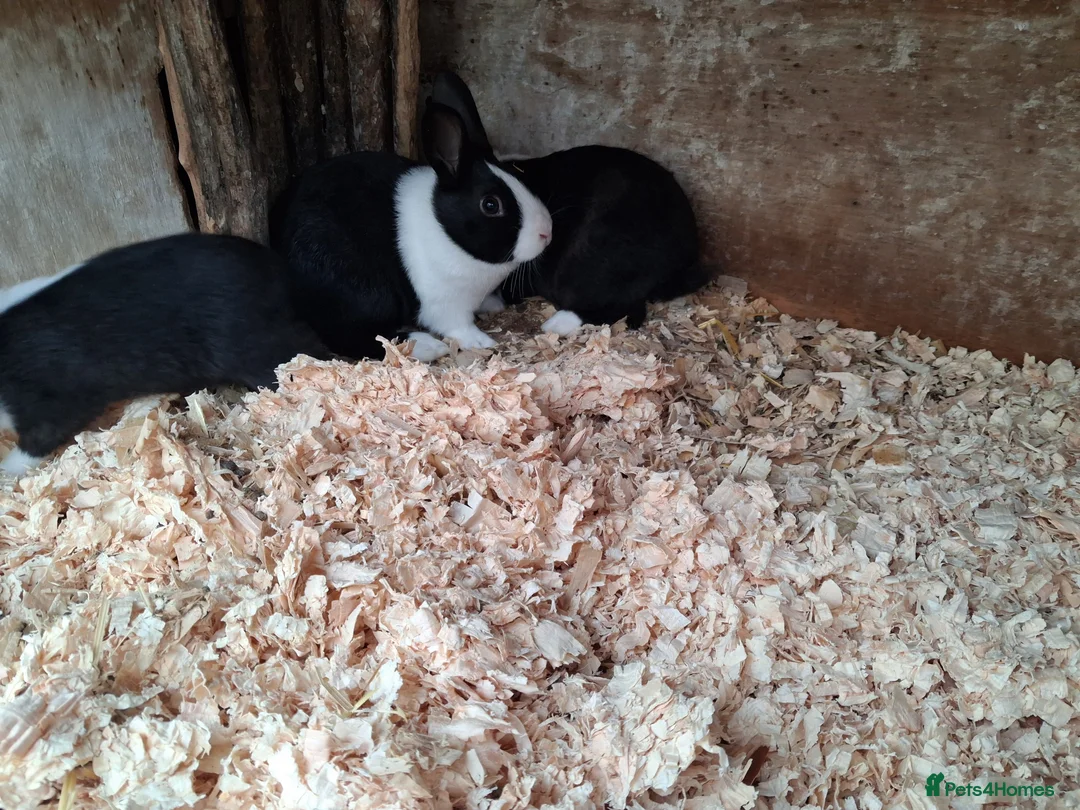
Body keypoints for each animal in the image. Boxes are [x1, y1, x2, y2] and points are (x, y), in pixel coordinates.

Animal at [268, 99, 554, 362]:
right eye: (491, 204)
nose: (546, 233)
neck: (443, 228)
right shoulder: (444, 303)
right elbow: (458, 326)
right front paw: (481, 341)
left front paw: (492, 305)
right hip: (363, 293)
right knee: (353, 336)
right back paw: (427, 346)